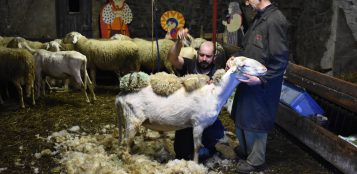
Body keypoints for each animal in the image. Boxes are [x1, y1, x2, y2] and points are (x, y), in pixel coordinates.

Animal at [115, 56, 266, 162]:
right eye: (244, 65)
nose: (265, 69)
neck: (215, 94)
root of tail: (121, 96)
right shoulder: (198, 123)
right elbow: (197, 146)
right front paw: (195, 163)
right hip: (133, 118)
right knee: (125, 145)